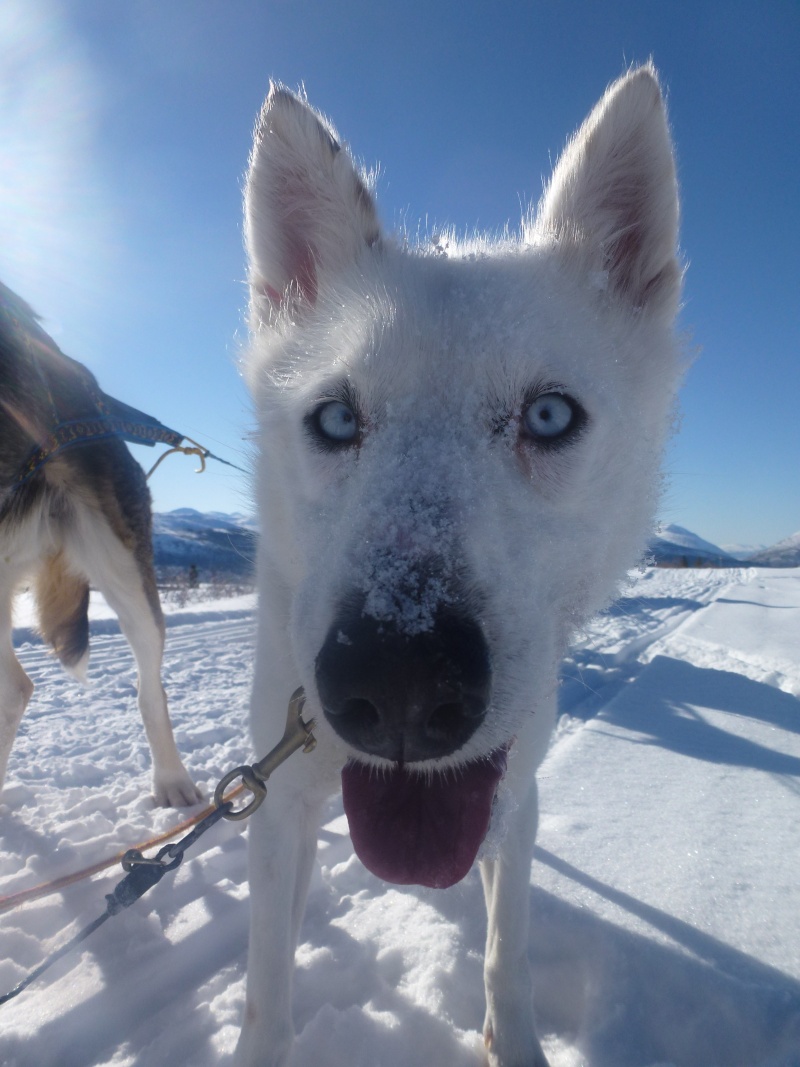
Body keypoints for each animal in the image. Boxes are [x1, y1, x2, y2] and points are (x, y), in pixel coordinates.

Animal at [237, 66, 682, 1067]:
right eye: (334, 419)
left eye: (550, 416)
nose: (400, 679)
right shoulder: (279, 807)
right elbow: (267, 991)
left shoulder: (516, 798)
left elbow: (506, 952)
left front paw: (510, 1038)